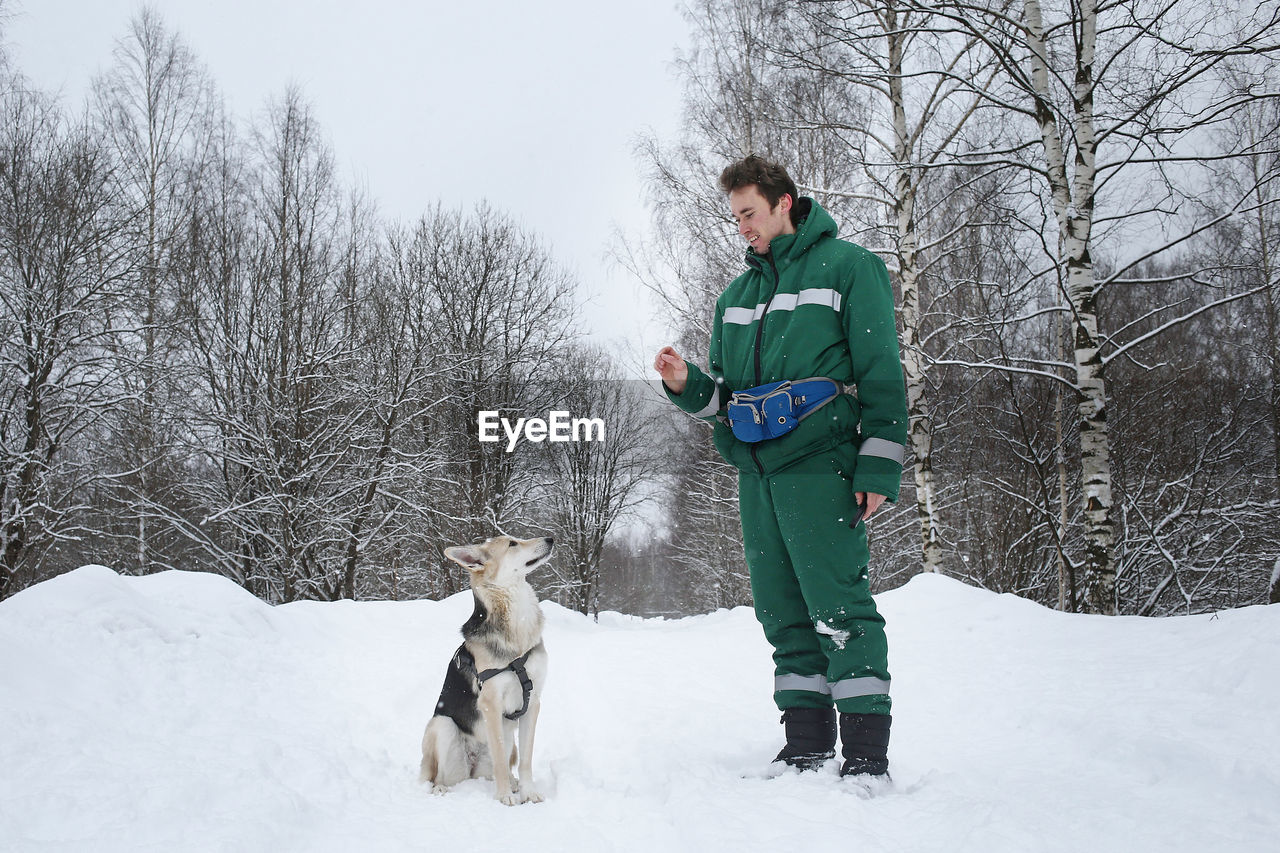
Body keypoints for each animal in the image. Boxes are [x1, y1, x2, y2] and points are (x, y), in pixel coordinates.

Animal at [419, 532, 550, 804]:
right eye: (513, 544)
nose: (551, 539)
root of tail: (471, 766)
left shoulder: (533, 702)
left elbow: (526, 760)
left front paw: (528, 792)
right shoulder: (491, 704)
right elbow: (499, 757)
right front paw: (504, 797)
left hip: (509, 741)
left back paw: (512, 782)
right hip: (441, 725)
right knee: (437, 775)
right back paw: (440, 788)